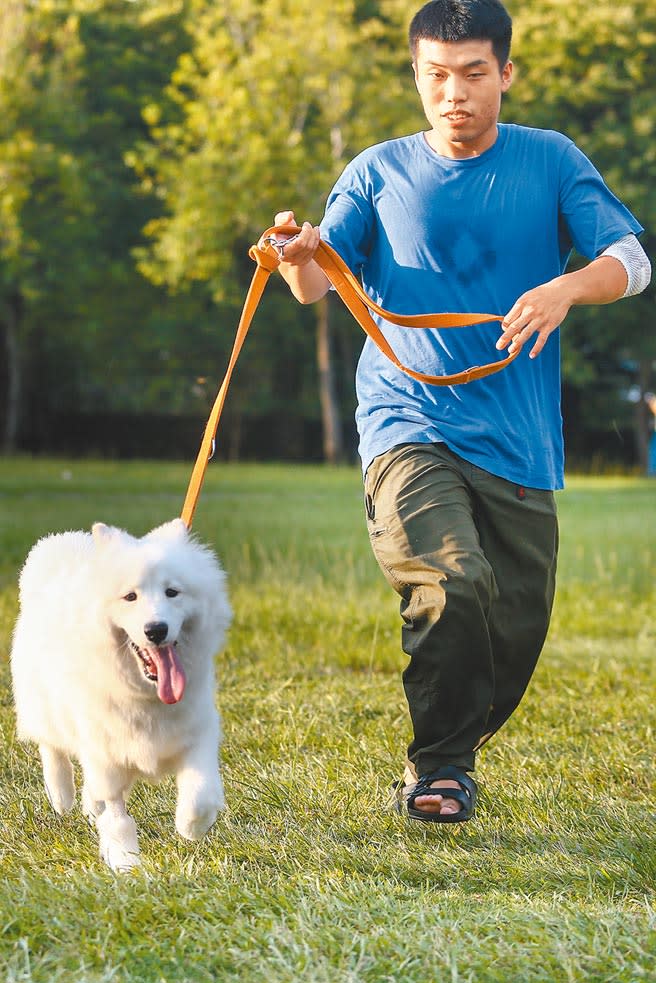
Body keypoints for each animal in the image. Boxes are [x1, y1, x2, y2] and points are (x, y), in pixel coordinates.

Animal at [10, 520, 232, 872]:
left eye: (172, 592)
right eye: (130, 597)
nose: (156, 629)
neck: (148, 698)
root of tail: (61, 547)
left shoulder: (197, 734)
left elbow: (200, 792)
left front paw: (192, 827)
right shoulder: (104, 752)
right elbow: (117, 816)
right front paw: (125, 863)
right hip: (43, 706)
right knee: (52, 749)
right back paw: (61, 795)